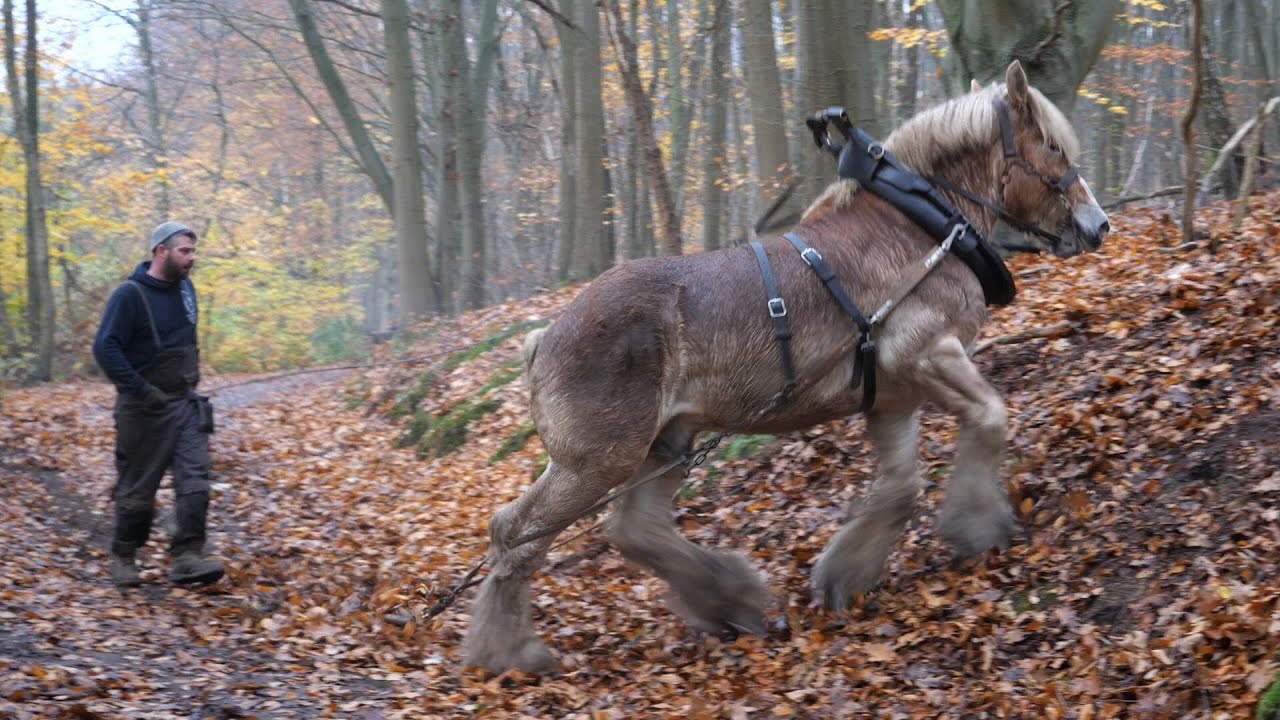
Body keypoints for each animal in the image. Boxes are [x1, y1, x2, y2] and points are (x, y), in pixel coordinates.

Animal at [463, 61, 1110, 673]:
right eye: (1052, 147)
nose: (1097, 224)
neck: (918, 229)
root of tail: (544, 338)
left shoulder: (892, 394)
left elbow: (901, 486)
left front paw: (846, 573)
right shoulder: (924, 351)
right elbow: (991, 416)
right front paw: (977, 523)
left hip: (668, 443)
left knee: (632, 529)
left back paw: (729, 599)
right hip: (595, 463)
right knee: (516, 534)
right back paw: (511, 650)